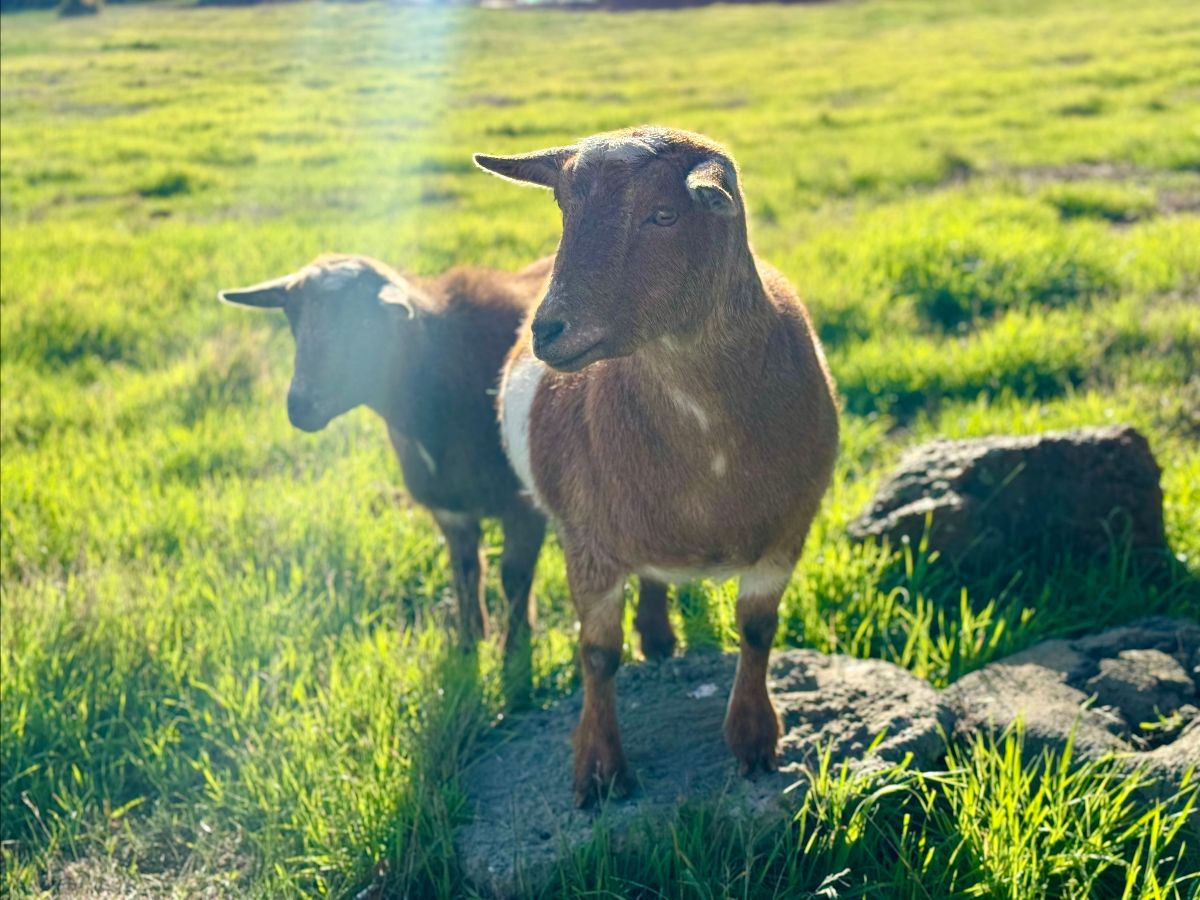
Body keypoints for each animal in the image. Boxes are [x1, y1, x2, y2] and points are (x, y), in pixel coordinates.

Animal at [218, 253, 677, 697]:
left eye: (363, 325)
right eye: (294, 320)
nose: (300, 407)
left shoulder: (522, 503)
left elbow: (513, 576)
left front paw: (514, 657)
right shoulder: (450, 508)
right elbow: (465, 571)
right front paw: (468, 643)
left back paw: (656, 636)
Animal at [475, 127, 840, 805]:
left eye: (664, 214)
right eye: (564, 208)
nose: (548, 330)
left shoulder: (788, 531)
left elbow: (757, 629)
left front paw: (754, 740)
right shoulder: (587, 539)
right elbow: (597, 654)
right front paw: (599, 768)